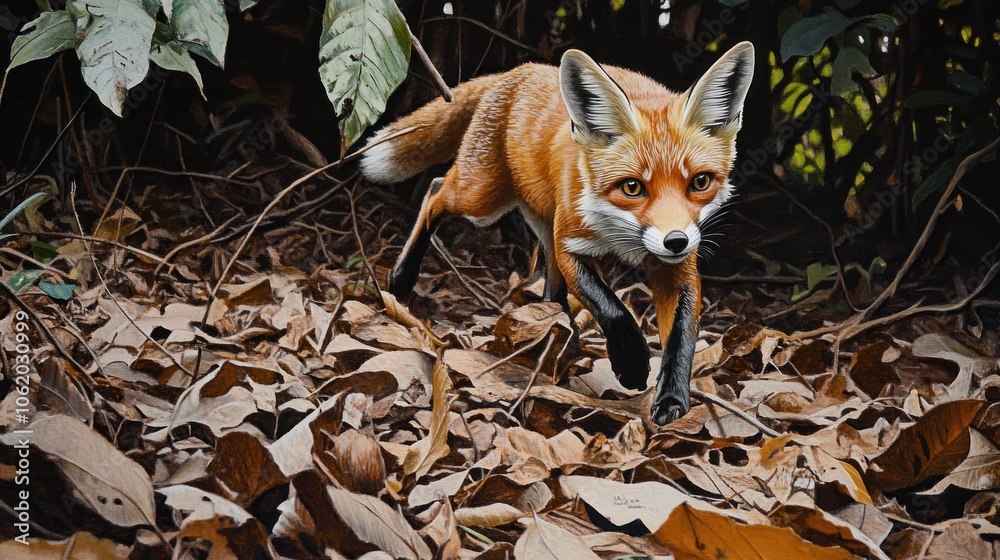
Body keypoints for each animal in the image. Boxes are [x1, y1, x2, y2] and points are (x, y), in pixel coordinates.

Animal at [360, 42, 754, 425]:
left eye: (699, 182)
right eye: (632, 187)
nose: (676, 241)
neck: (622, 233)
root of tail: (522, 69)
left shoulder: (677, 268)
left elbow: (681, 336)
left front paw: (672, 396)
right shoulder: (572, 246)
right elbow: (612, 309)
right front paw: (631, 364)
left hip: (538, 220)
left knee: (551, 288)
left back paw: (560, 334)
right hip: (482, 200)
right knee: (435, 190)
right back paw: (401, 277)